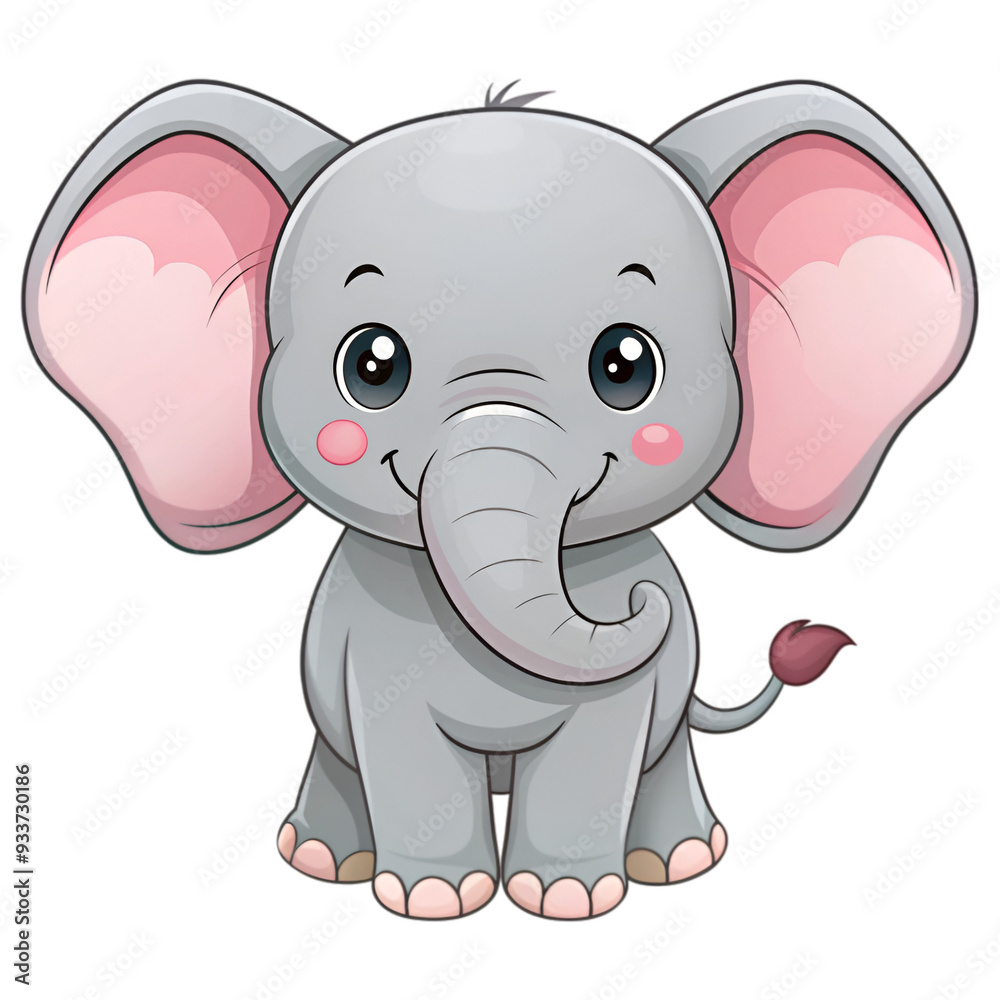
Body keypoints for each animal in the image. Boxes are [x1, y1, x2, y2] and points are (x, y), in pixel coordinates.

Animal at [23, 79, 976, 920]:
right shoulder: (372, 648)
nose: (646, 601)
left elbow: (604, 740)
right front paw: (435, 901)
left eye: (625, 364)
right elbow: (395, 737)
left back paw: (679, 861)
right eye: (372, 364)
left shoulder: (629, 689)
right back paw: (323, 859)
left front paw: (566, 902)